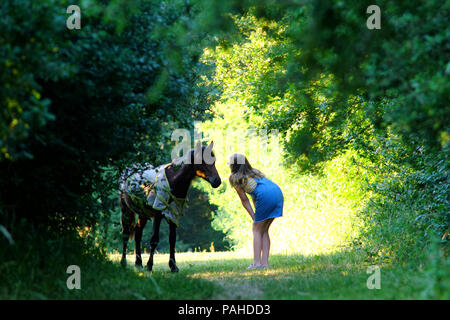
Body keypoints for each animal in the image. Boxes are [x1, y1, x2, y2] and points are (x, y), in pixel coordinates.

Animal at [118, 141, 220, 272]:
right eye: (202, 161)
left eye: (214, 161)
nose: (217, 181)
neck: (173, 181)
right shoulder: (158, 214)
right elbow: (154, 240)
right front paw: (149, 266)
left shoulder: (173, 214)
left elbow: (172, 239)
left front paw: (173, 266)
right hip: (125, 210)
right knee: (126, 233)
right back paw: (124, 262)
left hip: (143, 213)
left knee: (138, 233)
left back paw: (138, 263)